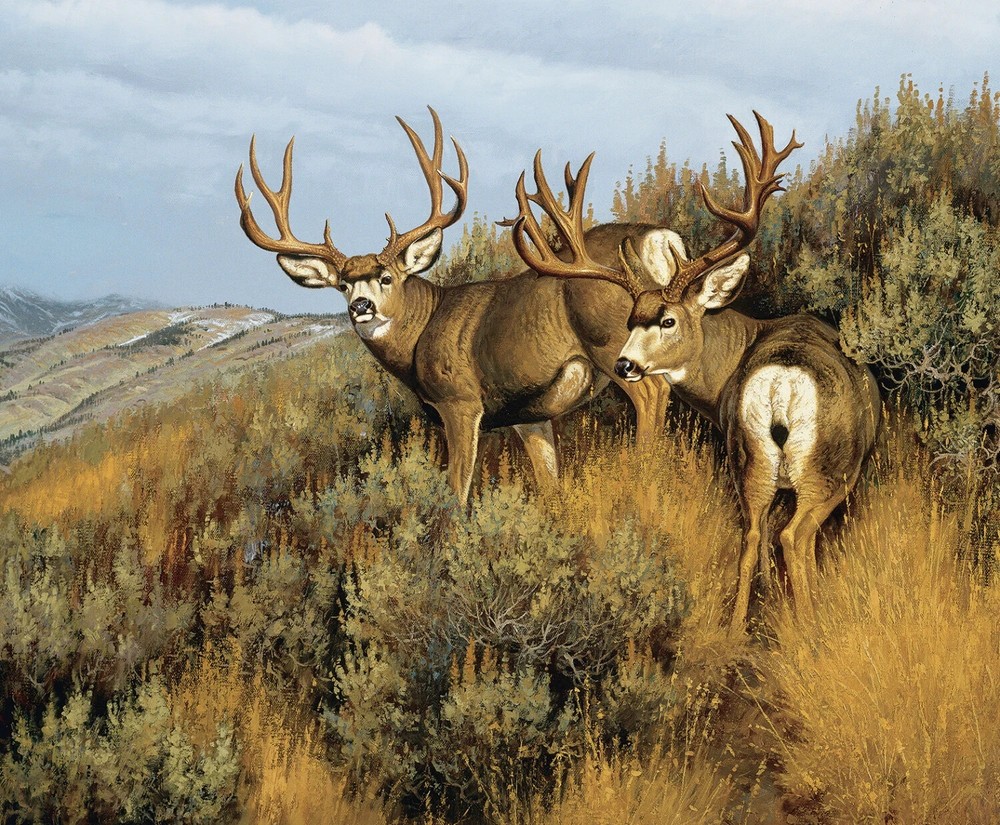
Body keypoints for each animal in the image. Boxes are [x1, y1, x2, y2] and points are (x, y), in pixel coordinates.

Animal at [235, 107, 672, 502]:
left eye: (386, 277)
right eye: (342, 285)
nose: (360, 306)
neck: (422, 335)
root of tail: (660, 238)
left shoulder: (460, 401)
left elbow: (456, 491)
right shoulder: (529, 415)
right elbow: (550, 484)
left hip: (611, 341)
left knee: (653, 393)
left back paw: (644, 476)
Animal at [507, 112, 881, 634]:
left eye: (666, 320)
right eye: (631, 318)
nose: (625, 364)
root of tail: (781, 384)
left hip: (752, 459)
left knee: (752, 535)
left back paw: (738, 626)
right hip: (826, 468)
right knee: (793, 536)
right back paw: (806, 627)